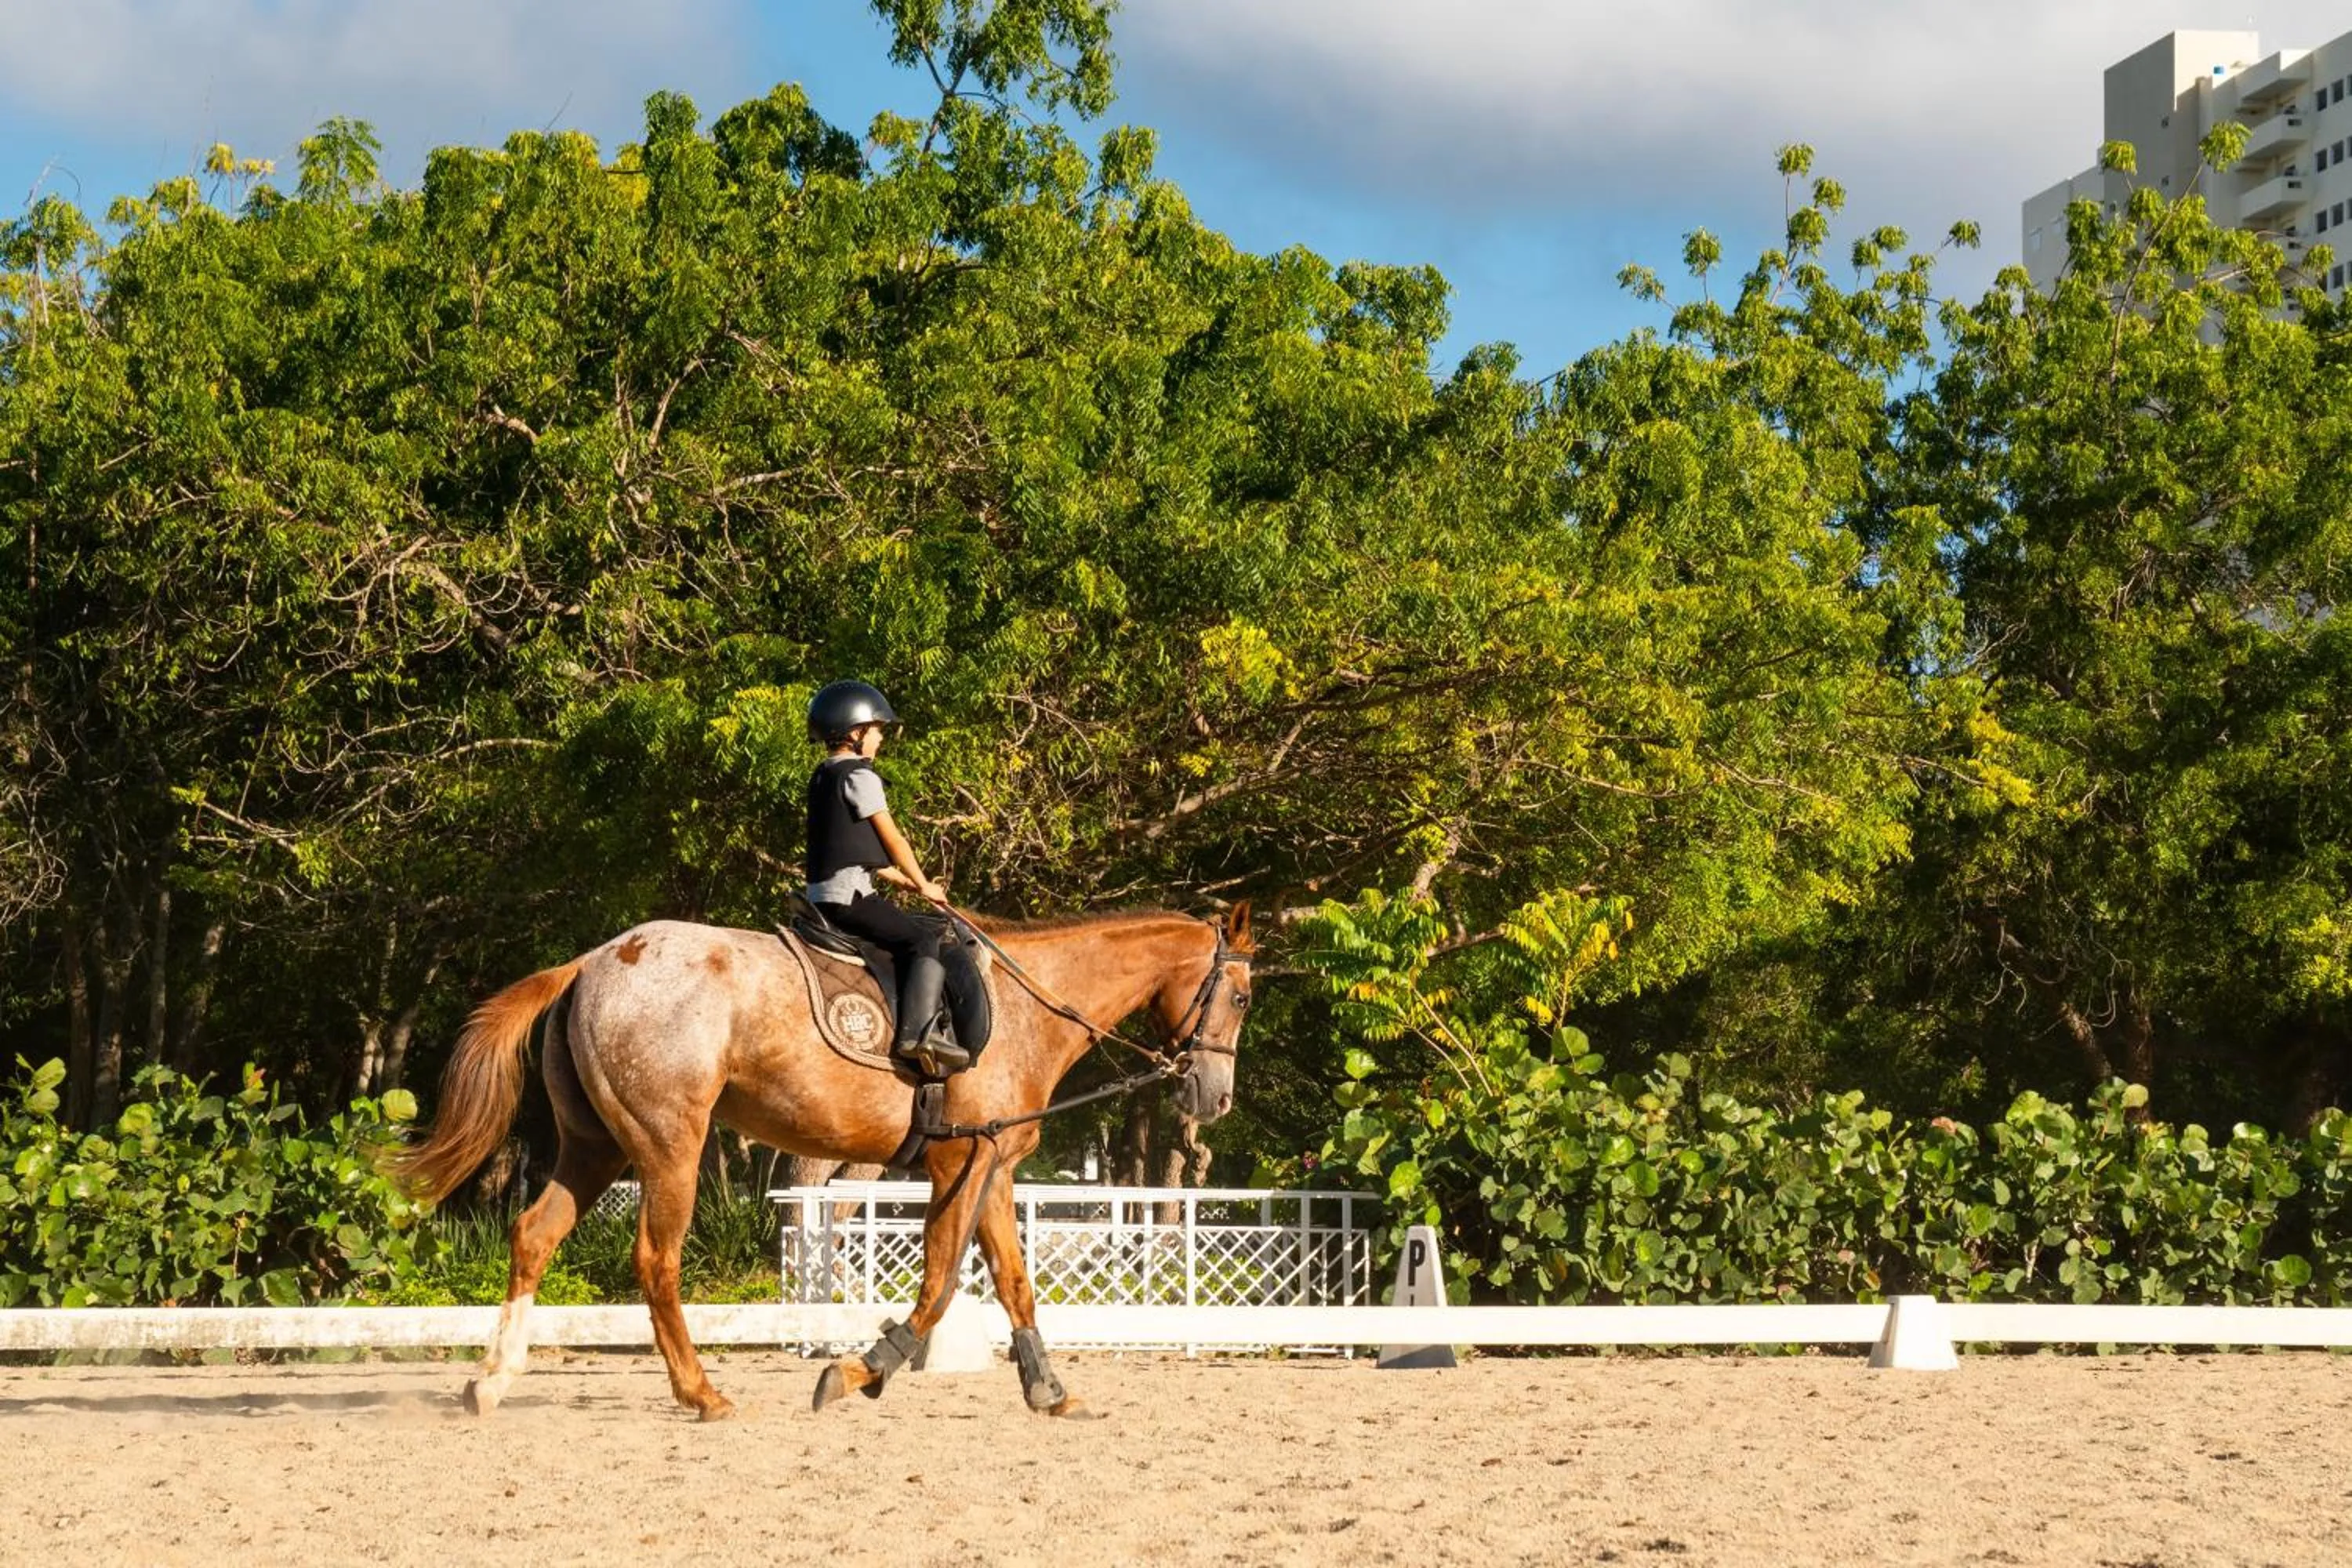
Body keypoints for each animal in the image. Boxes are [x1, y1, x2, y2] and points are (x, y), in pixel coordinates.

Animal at [384, 904, 1255, 1420]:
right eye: (1242, 997)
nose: (1214, 1098)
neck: (1025, 1006)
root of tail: (596, 959)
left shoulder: (996, 1165)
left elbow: (1012, 1279)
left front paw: (1047, 1388)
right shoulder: (961, 1164)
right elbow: (940, 1284)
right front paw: (864, 1369)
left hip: (595, 1147)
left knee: (534, 1234)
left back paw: (492, 1380)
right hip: (669, 1146)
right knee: (656, 1259)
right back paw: (700, 1391)